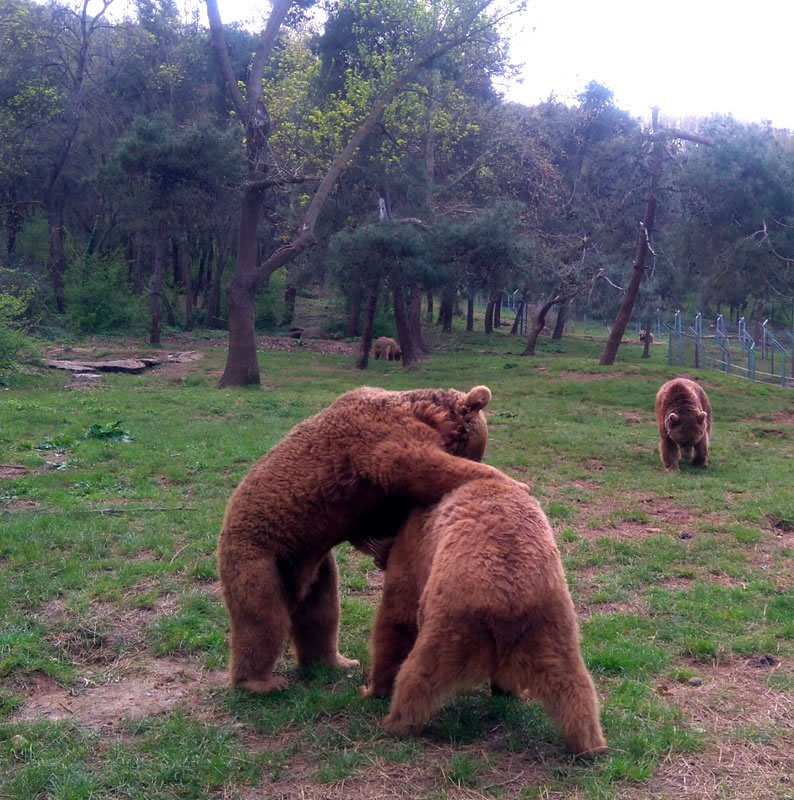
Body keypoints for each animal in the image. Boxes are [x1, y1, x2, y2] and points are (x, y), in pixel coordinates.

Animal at [217, 382, 520, 692]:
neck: (426, 414)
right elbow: (419, 465)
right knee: (264, 619)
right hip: (262, 555)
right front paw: (513, 482)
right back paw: (259, 682)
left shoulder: (370, 499)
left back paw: (336, 662)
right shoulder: (378, 440)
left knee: (322, 614)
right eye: (475, 451)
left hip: (314, 563)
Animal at [358, 478, 608, 760]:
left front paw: (371, 689)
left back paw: (397, 722)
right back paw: (589, 743)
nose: (377, 560)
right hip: (551, 624)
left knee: (419, 673)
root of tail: (507, 598)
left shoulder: (412, 552)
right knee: (573, 683)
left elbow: (396, 620)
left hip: (451, 620)